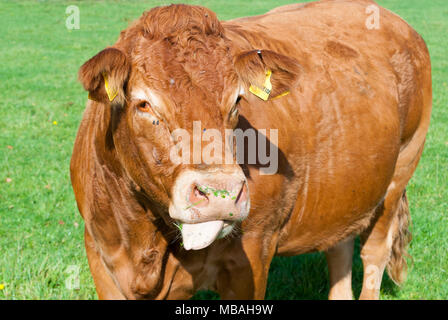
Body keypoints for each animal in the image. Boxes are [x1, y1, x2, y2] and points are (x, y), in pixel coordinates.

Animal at [70, 0, 430, 300]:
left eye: (237, 101)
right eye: (143, 104)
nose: (221, 193)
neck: (144, 237)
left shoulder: (253, 255)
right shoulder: (100, 257)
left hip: (401, 170)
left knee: (374, 253)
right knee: (339, 250)